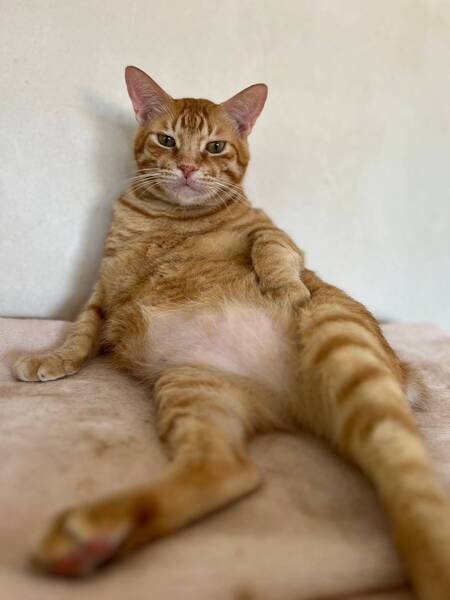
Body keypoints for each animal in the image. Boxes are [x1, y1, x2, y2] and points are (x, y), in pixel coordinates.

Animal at [13, 66, 450, 598]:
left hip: (345, 348)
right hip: (194, 385)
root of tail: (293, 400)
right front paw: (52, 358)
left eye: (215, 147)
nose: (186, 167)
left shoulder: (279, 235)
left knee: (410, 483)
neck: (171, 217)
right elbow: (79, 332)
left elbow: (269, 247)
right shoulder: (103, 288)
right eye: (167, 140)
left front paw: (286, 289)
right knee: (229, 472)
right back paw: (91, 534)